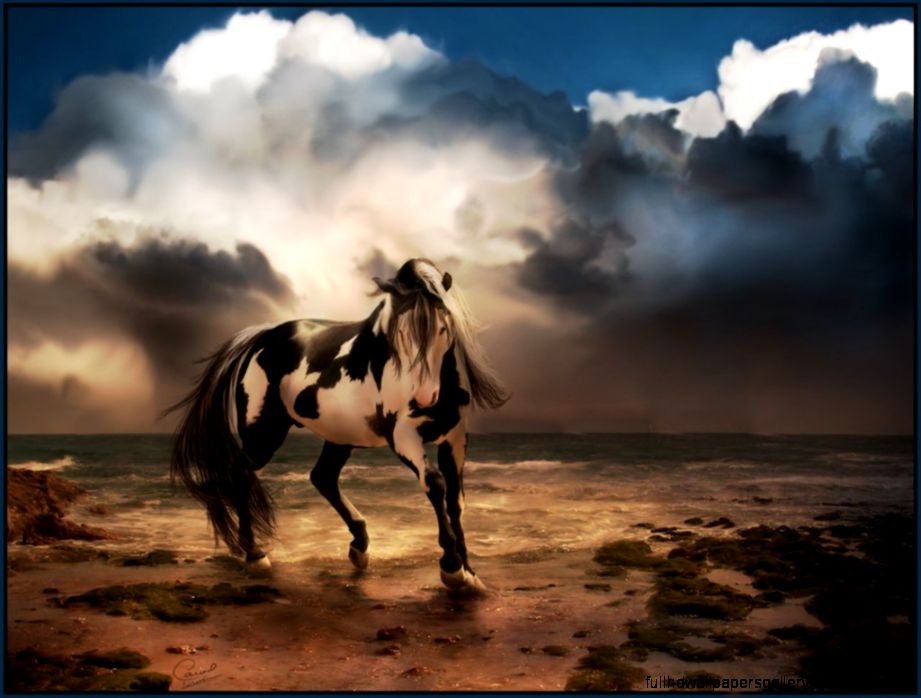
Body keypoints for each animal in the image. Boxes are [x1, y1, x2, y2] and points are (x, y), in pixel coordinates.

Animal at [167, 258, 509, 593]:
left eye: (443, 327)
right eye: (398, 334)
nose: (424, 398)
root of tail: (263, 337)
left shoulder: (455, 438)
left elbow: (456, 501)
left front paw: (469, 572)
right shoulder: (403, 436)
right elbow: (435, 485)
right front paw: (451, 567)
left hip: (338, 435)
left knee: (322, 477)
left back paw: (359, 546)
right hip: (264, 431)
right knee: (241, 473)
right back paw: (255, 555)